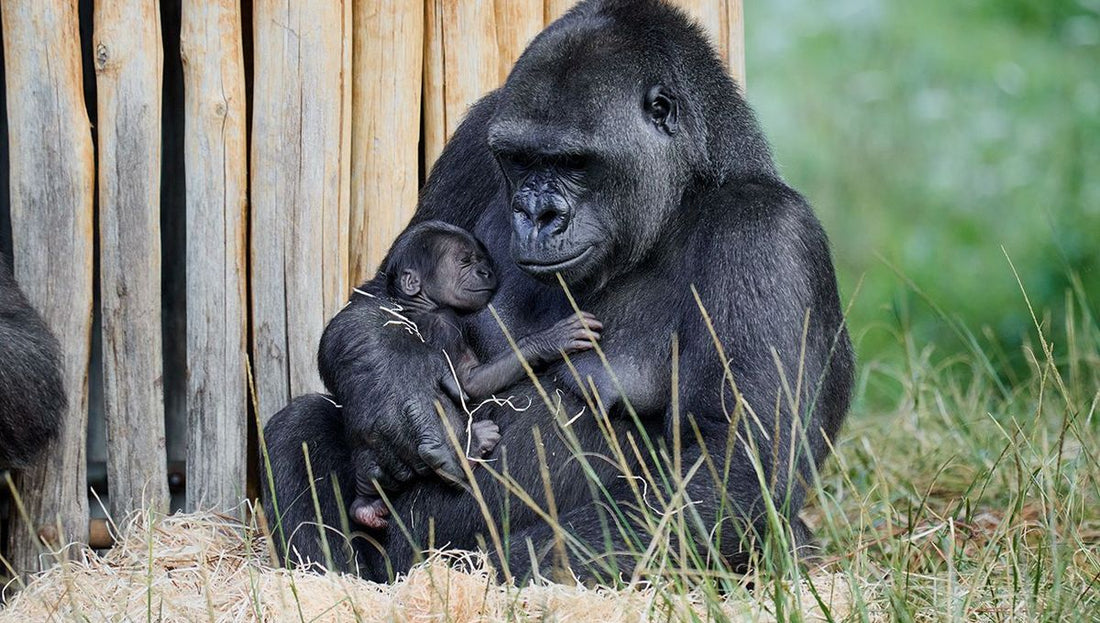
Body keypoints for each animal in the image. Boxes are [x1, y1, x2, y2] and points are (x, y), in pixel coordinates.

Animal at [347, 222, 602, 530]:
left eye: (482, 260)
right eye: (465, 261)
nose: (486, 272)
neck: (420, 305)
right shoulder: (446, 323)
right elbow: (469, 382)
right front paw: (548, 341)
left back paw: (364, 504)